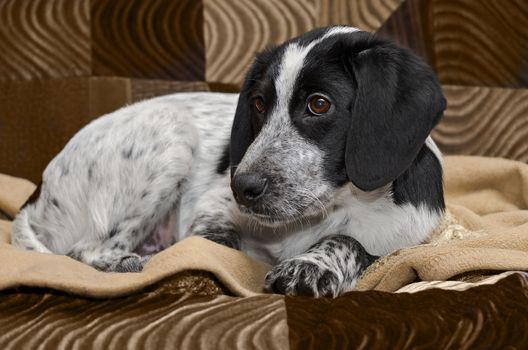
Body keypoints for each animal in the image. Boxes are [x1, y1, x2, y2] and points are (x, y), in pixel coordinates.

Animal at [11, 26, 446, 296]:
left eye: (319, 104)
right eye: (258, 103)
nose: (242, 187)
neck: (332, 208)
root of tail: (37, 193)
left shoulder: (406, 244)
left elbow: (353, 243)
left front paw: (312, 265)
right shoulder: (212, 207)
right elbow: (218, 239)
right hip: (171, 135)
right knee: (85, 250)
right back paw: (129, 262)